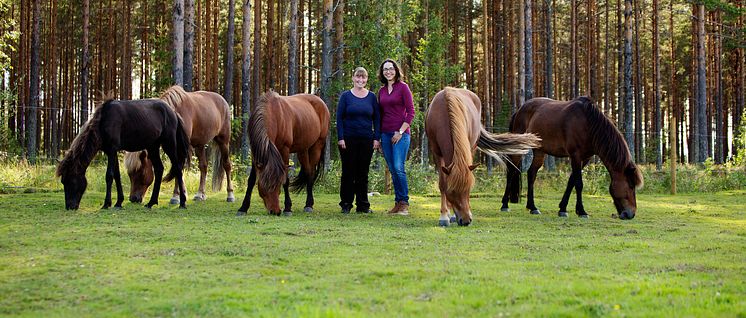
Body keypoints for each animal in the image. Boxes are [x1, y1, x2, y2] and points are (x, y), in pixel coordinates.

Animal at [55, 98, 189, 210]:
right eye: (63, 182)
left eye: (71, 181)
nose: (70, 207)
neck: (104, 121)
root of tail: (173, 112)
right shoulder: (111, 152)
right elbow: (117, 176)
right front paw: (118, 202)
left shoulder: (112, 150)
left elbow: (109, 176)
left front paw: (106, 204)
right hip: (153, 147)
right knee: (159, 169)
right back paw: (151, 202)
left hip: (169, 144)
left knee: (177, 169)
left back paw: (182, 203)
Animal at [424, 87, 540, 226]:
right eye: (452, 191)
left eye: (469, 189)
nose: (466, 220)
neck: (444, 114)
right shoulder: (436, 153)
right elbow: (442, 184)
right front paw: (443, 216)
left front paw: (450, 215)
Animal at [500, 96, 644, 219]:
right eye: (631, 185)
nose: (631, 214)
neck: (589, 124)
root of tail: (519, 110)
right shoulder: (575, 155)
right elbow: (579, 183)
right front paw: (582, 211)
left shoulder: (585, 159)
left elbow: (571, 181)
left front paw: (563, 208)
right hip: (519, 148)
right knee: (512, 171)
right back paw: (505, 205)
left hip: (540, 151)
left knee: (531, 174)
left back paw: (533, 207)